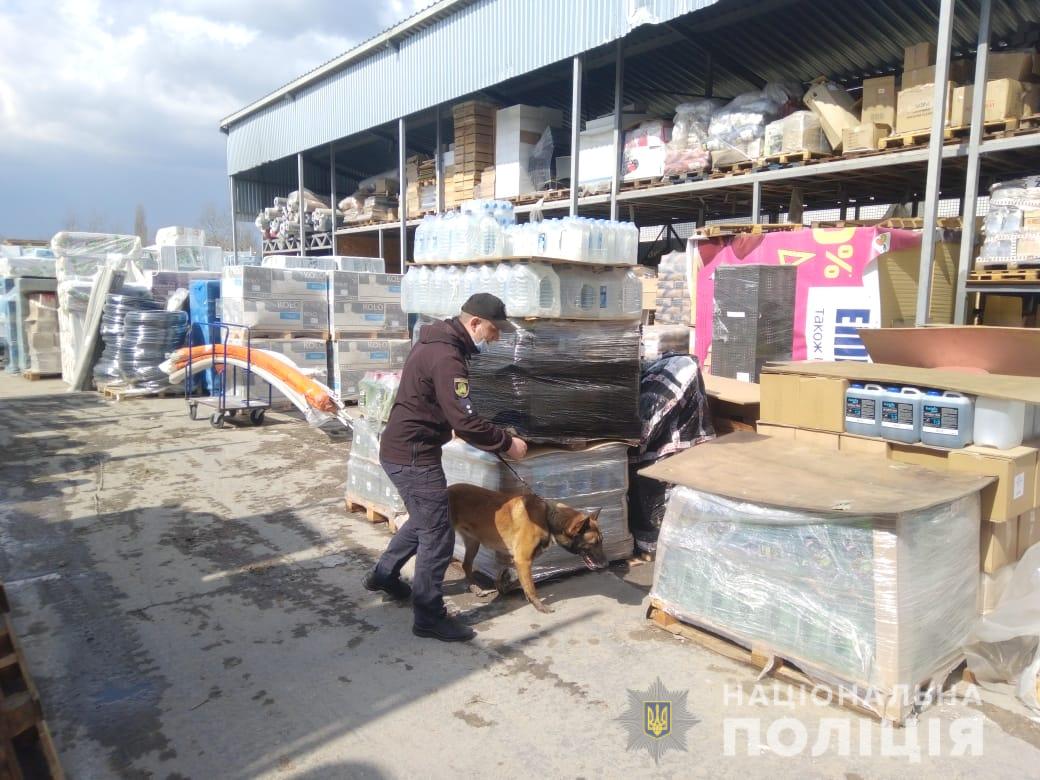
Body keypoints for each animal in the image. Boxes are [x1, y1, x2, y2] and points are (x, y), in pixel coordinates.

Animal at [447, 482, 607, 615]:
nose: (606, 564)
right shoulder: (523, 560)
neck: (547, 518)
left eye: (602, 541)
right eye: (594, 543)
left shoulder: (519, 560)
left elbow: (518, 579)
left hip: (473, 543)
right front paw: (539, 606)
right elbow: (531, 586)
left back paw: (475, 587)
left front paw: (503, 586)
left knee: (466, 565)